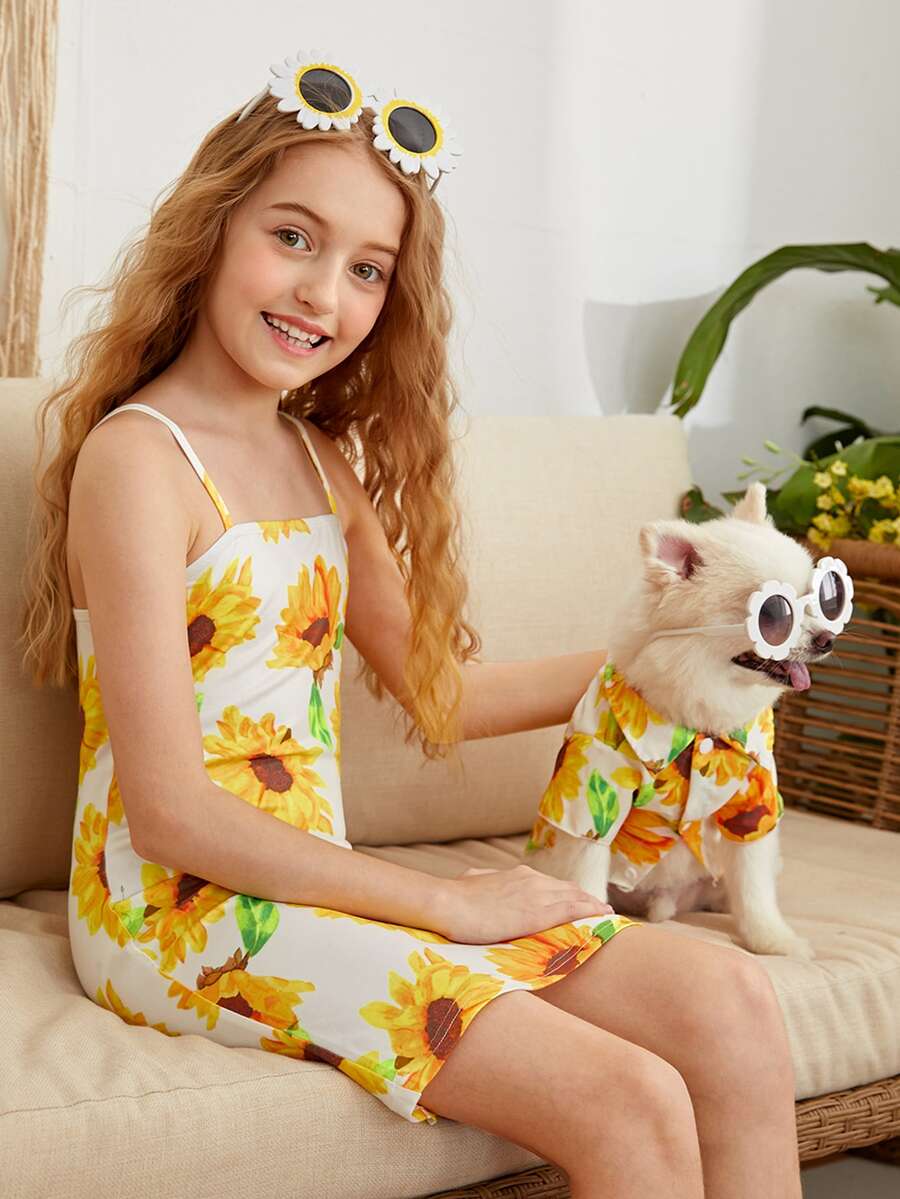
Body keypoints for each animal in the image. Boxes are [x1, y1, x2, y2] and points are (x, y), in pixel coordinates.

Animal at [524, 482, 853, 959]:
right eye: (774, 616)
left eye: (825, 601)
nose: (827, 639)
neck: (699, 722)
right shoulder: (594, 790)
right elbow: (586, 873)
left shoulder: (753, 800)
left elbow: (753, 885)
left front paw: (771, 938)